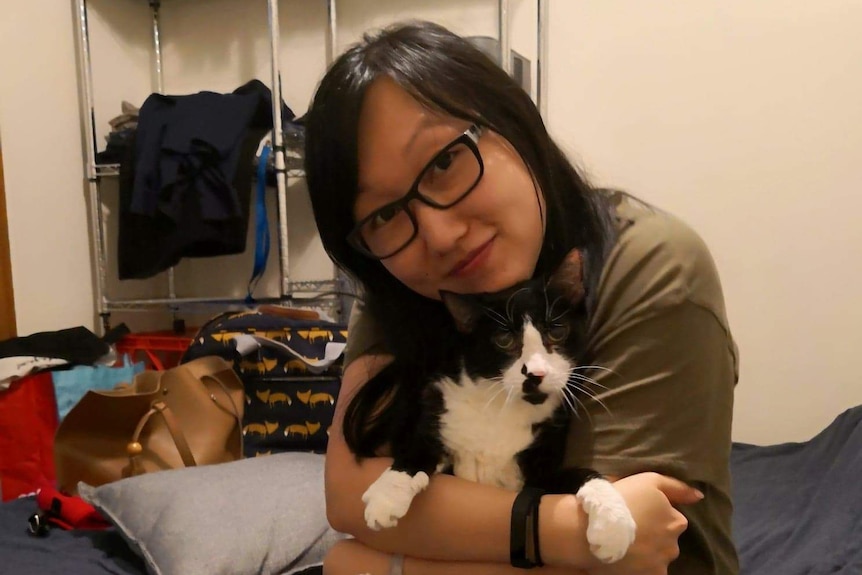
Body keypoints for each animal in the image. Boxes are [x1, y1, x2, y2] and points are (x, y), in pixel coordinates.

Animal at [362, 251, 636, 564]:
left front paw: (614, 524)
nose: (535, 374)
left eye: (557, 331)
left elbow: (582, 475)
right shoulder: (442, 413)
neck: (503, 407)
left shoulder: (540, 469)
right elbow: (415, 452)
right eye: (504, 340)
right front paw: (385, 496)